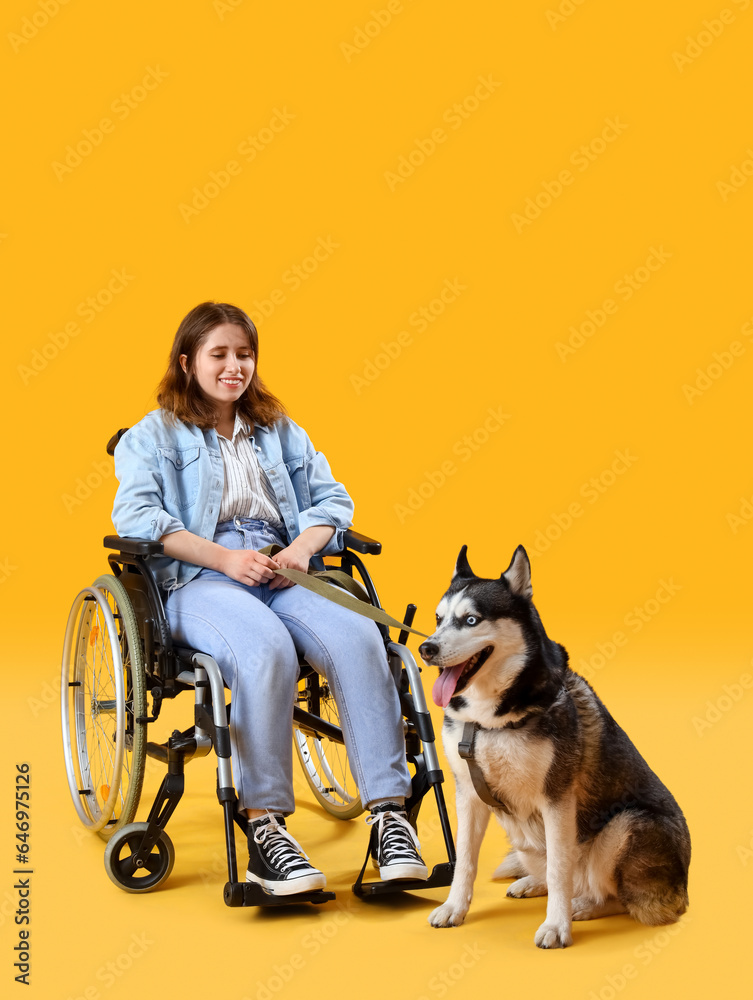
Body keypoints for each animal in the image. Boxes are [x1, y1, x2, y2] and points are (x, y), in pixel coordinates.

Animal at [420, 544, 692, 948]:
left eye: (470, 620)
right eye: (438, 619)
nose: (426, 647)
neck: (489, 721)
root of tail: (683, 889)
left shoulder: (557, 799)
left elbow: (560, 869)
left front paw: (556, 925)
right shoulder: (468, 794)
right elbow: (465, 861)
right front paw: (455, 908)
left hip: (626, 824)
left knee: (621, 898)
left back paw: (583, 905)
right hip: (526, 840)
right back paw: (532, 883)